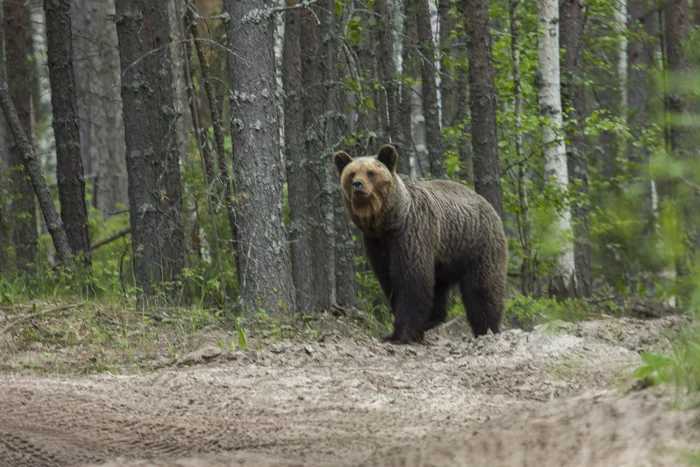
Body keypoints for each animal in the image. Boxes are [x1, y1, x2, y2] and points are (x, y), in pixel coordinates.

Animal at [334, 144, 508, 346]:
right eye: (351, 173)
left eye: (370, 173)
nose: (357, 185)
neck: (388, 221)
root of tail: (487, 204)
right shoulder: (376, 243)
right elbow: (388, 279)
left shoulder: (412, 233)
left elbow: (411, 280)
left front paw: (400, 335)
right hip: (444, 257)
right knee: (439, 289)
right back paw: (432, 320)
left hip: (476, 244)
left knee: (482, 289)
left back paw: (487, 329)